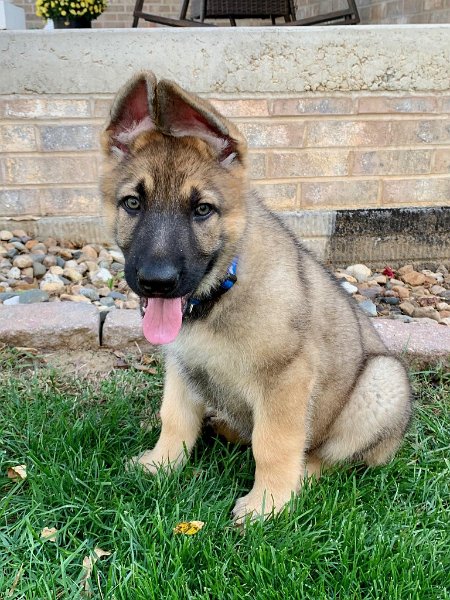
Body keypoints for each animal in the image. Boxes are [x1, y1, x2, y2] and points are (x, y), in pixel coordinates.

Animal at [101, 69, 412, 520]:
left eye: (202, 210)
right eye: (132, 203)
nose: (156, 282)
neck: (219, 294)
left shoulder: (287, 379)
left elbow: (274, 445)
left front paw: (268, 504)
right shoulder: (182, 366)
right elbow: (174, 418)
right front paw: (161, 465)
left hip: (383, 382)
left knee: (329, 456)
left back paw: (302, 479)